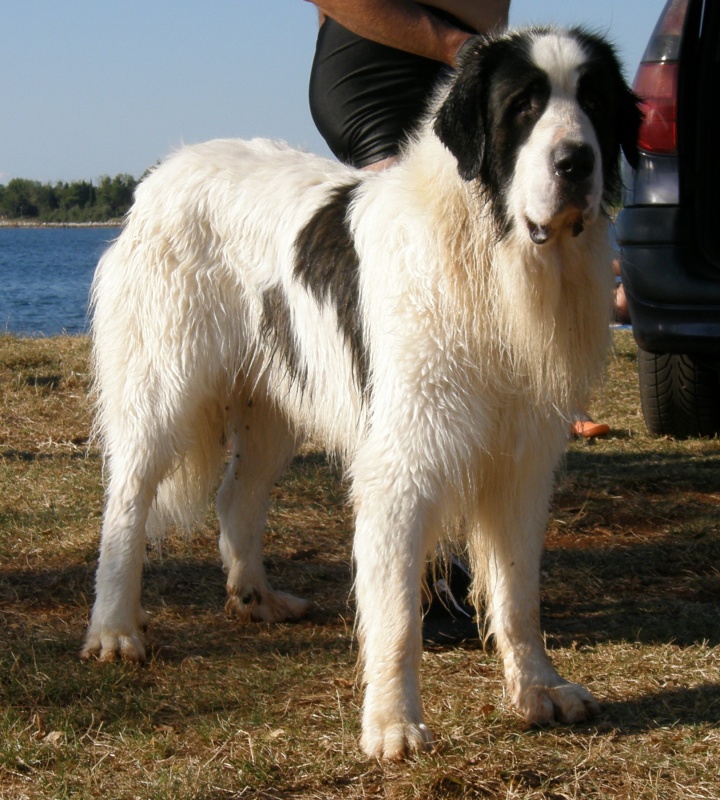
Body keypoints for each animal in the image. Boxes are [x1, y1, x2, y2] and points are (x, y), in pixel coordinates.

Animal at [82, 27, 641, 760]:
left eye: (595, 102)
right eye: (523, 106)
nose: (576, 161)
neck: (489, 256)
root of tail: (159, 176)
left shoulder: (520, 460)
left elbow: (519, 592)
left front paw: (539, 687)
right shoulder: (403, 461)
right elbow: (397, 611)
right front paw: (393, 724)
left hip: (274, 400)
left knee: (237, 494)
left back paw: (257, 597)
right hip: (163, 383)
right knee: (127, 500)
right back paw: (115, 629)